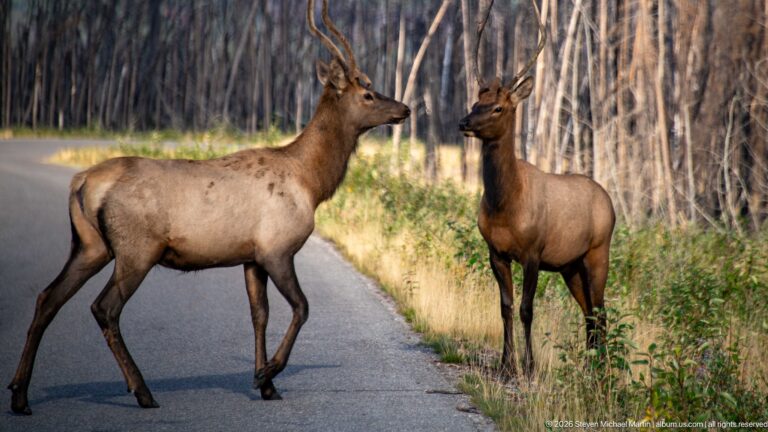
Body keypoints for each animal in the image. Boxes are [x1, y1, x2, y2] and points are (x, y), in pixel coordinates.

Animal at [8, 0, 410, 415]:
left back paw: (20, 394)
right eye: (367, 92)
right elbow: (302, 307)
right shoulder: (277, 248)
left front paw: (265, 384)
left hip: (90, 245)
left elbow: (259, 315)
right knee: (104, 307)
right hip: (137, 249)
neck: (311, 183)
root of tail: (82, 182)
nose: (405, 109)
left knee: (48, 297)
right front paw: (267, 374)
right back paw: (143, 391)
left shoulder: (252, 256)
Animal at [458, 0, 615, 379]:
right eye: (475, 102)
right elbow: (505, 306)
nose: (464, 122)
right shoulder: (496, 252)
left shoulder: (533, 251)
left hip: (598, 252)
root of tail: (610, 202)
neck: (505, 204)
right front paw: (505, 364)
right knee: (589, 313)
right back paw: (590, 368)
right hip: (570, 265)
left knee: (601, 312)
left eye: (498, 107)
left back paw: (602, 372)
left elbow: (527, 309)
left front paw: (528, 367)